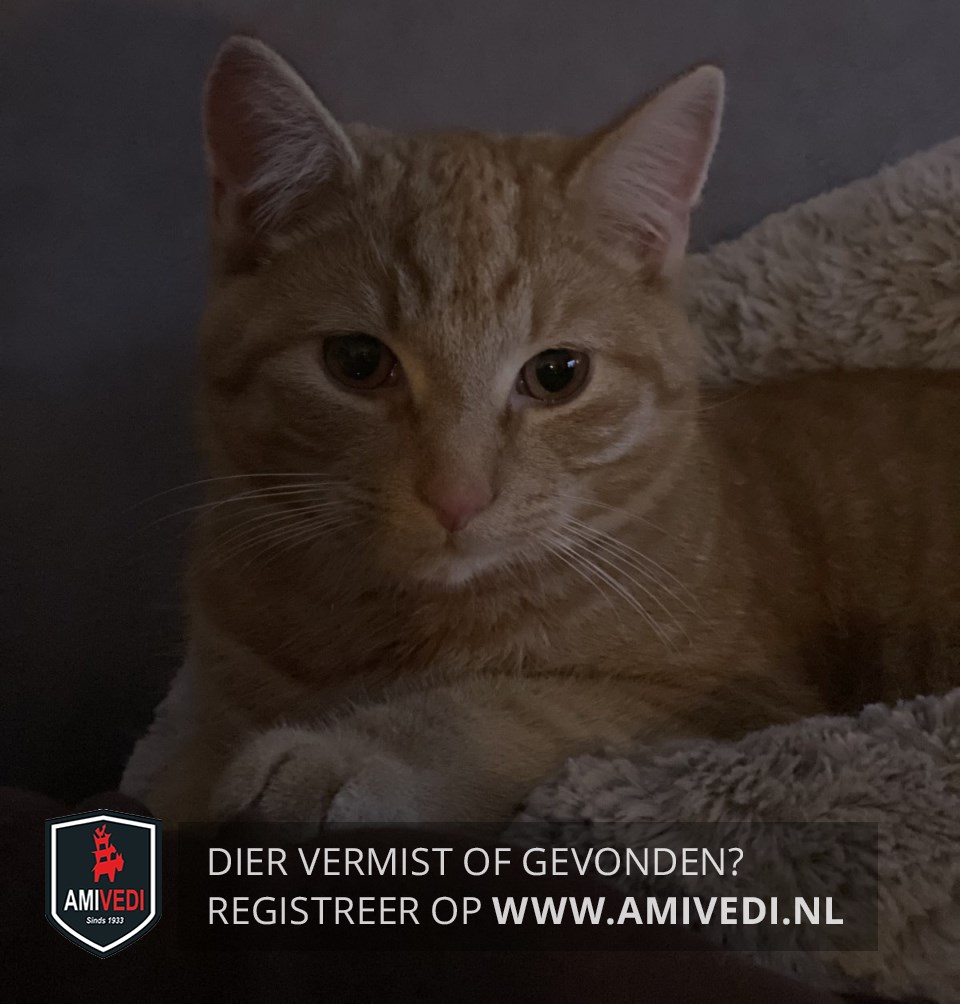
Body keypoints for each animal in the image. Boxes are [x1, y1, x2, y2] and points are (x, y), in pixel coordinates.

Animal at [146, 36, 960, 825]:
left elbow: (509, 707)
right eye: (357, 361)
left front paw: (339, 754)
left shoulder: (733, 701)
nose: (458, 496)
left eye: (557, 374)